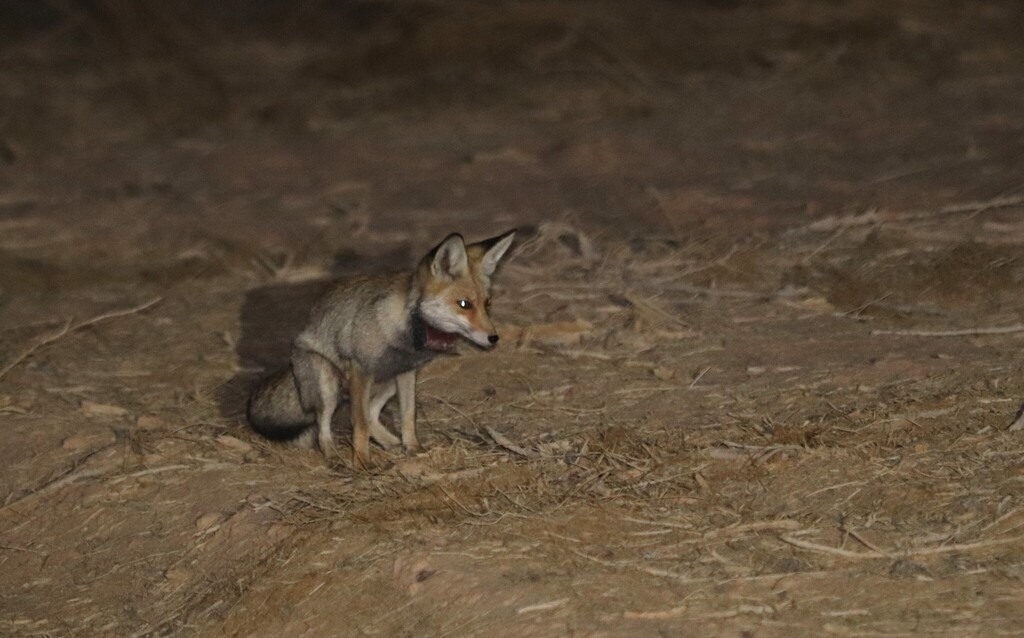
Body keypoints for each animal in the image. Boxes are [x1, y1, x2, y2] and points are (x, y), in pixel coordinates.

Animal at [246, 230, 516, 468]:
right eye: (464, 304)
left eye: (487, 304)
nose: (494, 338)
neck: (405, 331)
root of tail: (291, 368)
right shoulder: (361, 369)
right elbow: (359, 423)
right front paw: (362, 461)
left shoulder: (407, 371)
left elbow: (407, 416)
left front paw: (413, 447)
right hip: (328, 383)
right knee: (325, 428)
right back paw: (334, 456)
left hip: (387, 380)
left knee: (372, 413)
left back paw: (389, 443)